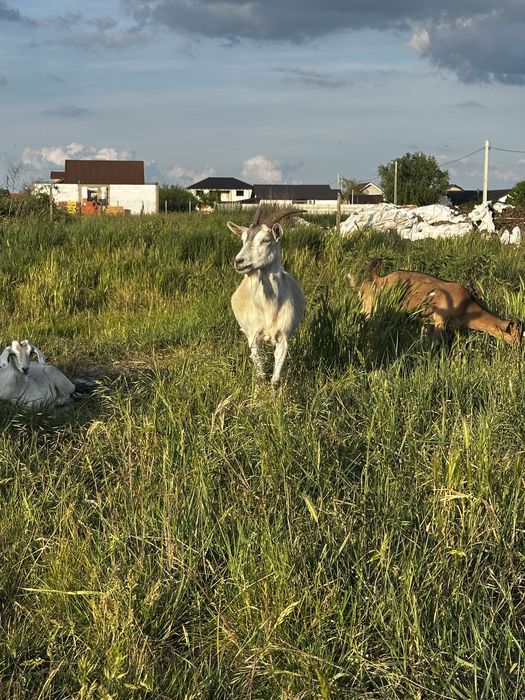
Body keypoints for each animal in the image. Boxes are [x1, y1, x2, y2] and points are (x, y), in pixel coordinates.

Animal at [228, 207, 306, 387]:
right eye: (243, 239)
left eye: (266, 240)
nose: (239, 261)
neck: (269, 307)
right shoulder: (254, 338)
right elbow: (261, 376)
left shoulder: (283, 338)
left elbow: (275, 381)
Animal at [347, 258, 523, 344]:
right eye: (516, 335)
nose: (519, 348)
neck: (467, 307)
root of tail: (376, 280)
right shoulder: (440, 320)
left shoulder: (454, 327)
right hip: (371, 308)